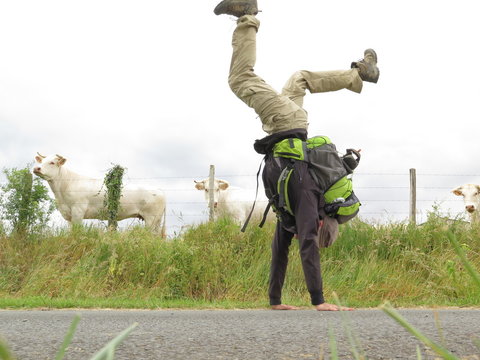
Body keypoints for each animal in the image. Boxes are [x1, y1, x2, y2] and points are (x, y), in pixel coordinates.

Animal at [33, 153, 167, 235]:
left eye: (52, 162)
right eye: (41, 161)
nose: (36, 168)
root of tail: (159, 190)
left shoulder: (78, 211)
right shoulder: (68, 215)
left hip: (151, 219)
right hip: (156, 220)